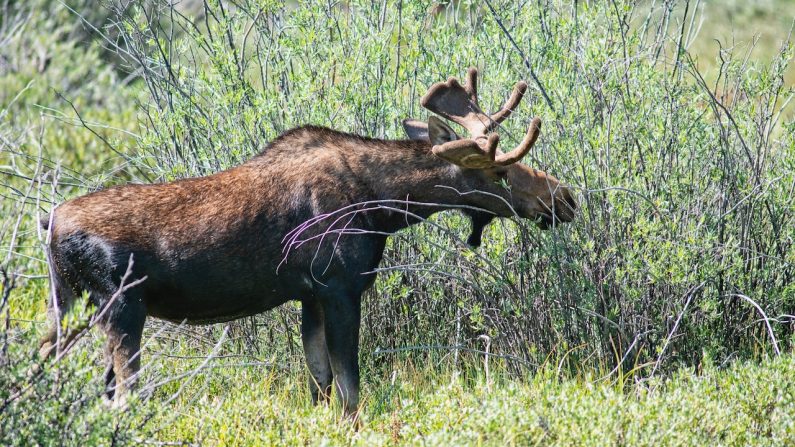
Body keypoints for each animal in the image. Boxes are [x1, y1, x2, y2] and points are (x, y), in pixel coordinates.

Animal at [37, 67, 576, 418]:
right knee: (122, 395)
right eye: (501, 171)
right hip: (121, 306)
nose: (564, 197)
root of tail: (50, 222)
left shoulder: (309, 295)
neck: (384, 208)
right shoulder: (339, 287)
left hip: (67, 305)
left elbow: (320, 384)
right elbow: (350, 389)